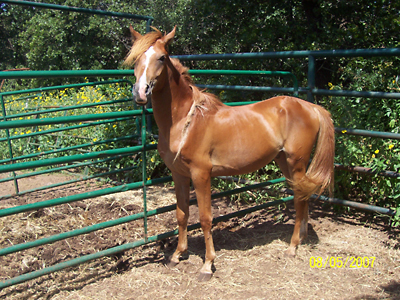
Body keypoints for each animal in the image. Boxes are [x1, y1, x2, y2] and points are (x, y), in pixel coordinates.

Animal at [124, 25, 334, 282]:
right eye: (136, 58)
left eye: (162, 57)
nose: (140, 93)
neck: (186, 120)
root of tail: (311, 107)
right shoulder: (179, 174)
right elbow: (182, 214)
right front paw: (177, 255)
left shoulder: (201, 175)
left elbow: (205, 218)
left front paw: (207, 265)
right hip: (285, 162)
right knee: (301, 195)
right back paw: (301, 239)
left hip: (296, 162)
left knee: (298, 197)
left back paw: (292, 247)